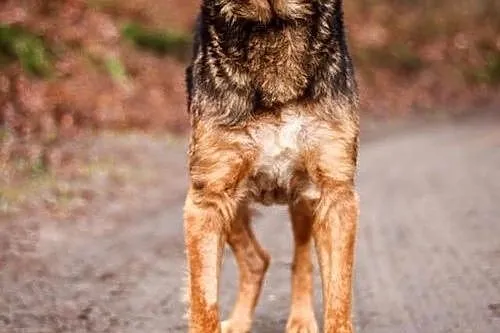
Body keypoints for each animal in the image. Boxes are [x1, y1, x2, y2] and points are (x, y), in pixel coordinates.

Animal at [184, 0, 360, 332]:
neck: (273, 26)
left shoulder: (336, 194)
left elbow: (339, 298)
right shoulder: (207, 199)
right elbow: (204, 302)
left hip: (303, 201)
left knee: (300, 259)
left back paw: (301, 319)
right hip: (232, 204)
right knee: (256, 260)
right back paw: (239, 322)